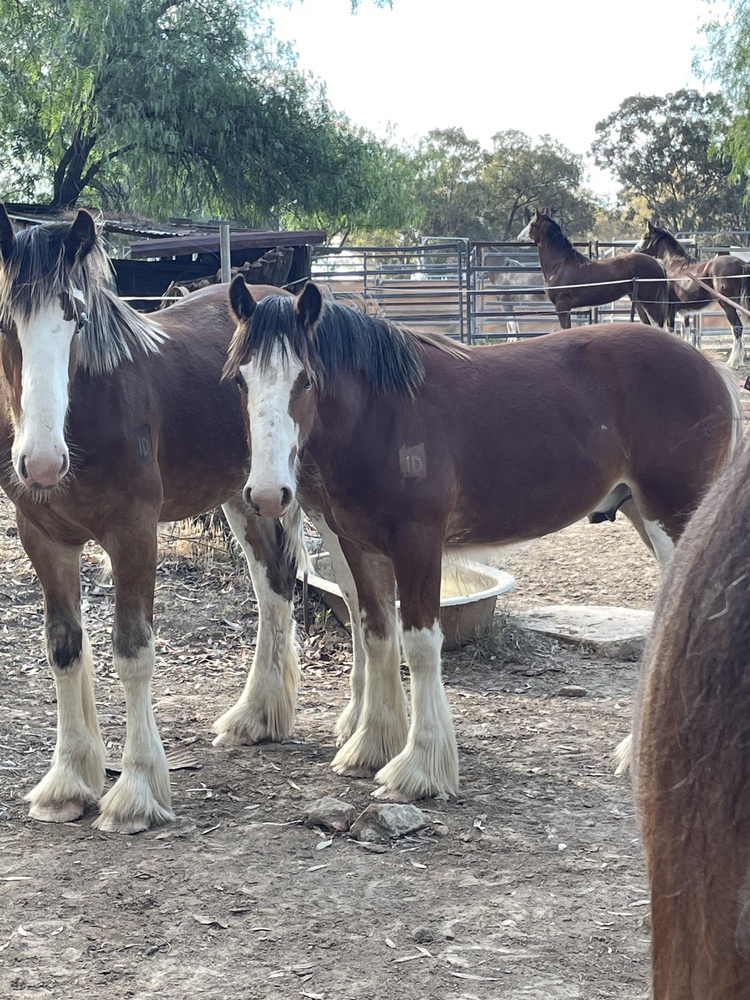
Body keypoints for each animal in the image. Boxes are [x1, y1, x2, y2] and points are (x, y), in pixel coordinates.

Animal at [0, 206, 316, 834]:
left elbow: (133, 650)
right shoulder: (43, 538)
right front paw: (67, 782)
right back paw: (256, 717)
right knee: (274, 587)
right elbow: (63, 649)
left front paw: (137, 790)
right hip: (247, 497)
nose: (42, 463)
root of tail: (277, 301)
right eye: (4, 323)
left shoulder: (134, 533)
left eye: (75, 318)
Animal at [223, 277, 741, 802]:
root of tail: (709, 368)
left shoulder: (418, 543)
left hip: (673, 519)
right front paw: (370, 748)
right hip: (643, 512)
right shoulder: (361, 547)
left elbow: (419, 646)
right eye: (241, 381)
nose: (266, 494)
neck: (382, 414)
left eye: (305, 379)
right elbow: (377, 637)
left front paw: (419, 770)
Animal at [517, 210, 670, 330]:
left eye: (532, 224)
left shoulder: (562, 306)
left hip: (649, 302)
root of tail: (658, 264)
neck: (560, 265)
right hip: (637, 301)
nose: (518, 239)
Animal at [633, 221, 750, 368]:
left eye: (646, 237)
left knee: (737, 327)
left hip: (728, 304)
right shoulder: (684, 313)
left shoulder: (671, 309)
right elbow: (685, 332)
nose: (634, 251)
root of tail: (743, 264)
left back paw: (732, 361)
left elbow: (671, 330)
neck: (674, 265)